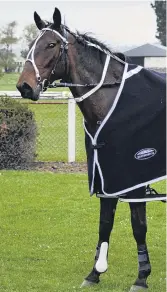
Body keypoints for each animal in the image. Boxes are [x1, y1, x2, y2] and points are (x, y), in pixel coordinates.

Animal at [16, 7, 166, 292]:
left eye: (51, 45)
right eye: (30, 45)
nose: (24, 86)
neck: (111, 98)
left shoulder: (133, 179)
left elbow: (138, 226)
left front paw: (142, 276)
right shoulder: (106, 174)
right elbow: (104, 224)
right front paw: (95, 272)